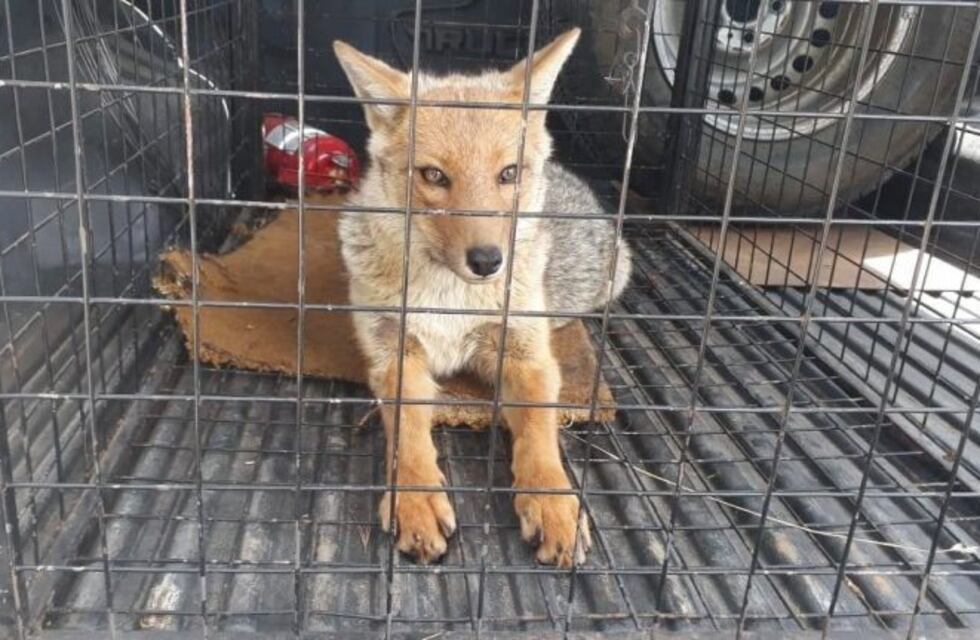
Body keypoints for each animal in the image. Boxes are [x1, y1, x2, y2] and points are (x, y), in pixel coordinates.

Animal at [333, 28, 631, 567]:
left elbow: (539, 433)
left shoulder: (526, 358)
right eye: (434, 176)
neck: (451, 299)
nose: (489, 260)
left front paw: (552, 502)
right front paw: (415, 499)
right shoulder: (396, 356)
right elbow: (407, 434)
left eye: (508, 174)